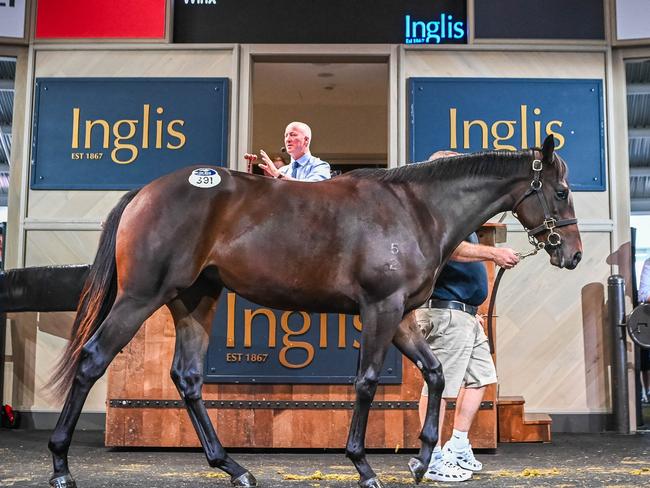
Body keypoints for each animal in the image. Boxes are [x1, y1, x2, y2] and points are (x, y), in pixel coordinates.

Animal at [48, 134, 580, 488]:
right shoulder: (379, 309)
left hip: (195, 300)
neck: (415, 209)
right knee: (92, 360)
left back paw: (235, 468)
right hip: (141, 297)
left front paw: (421, 459)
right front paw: (363, 466)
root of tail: (144, 192)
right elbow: (366, 383)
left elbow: (433, 374)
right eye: (560, 192)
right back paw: (60, 466)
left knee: (188, 378)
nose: (571, 254)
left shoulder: (402, 316)